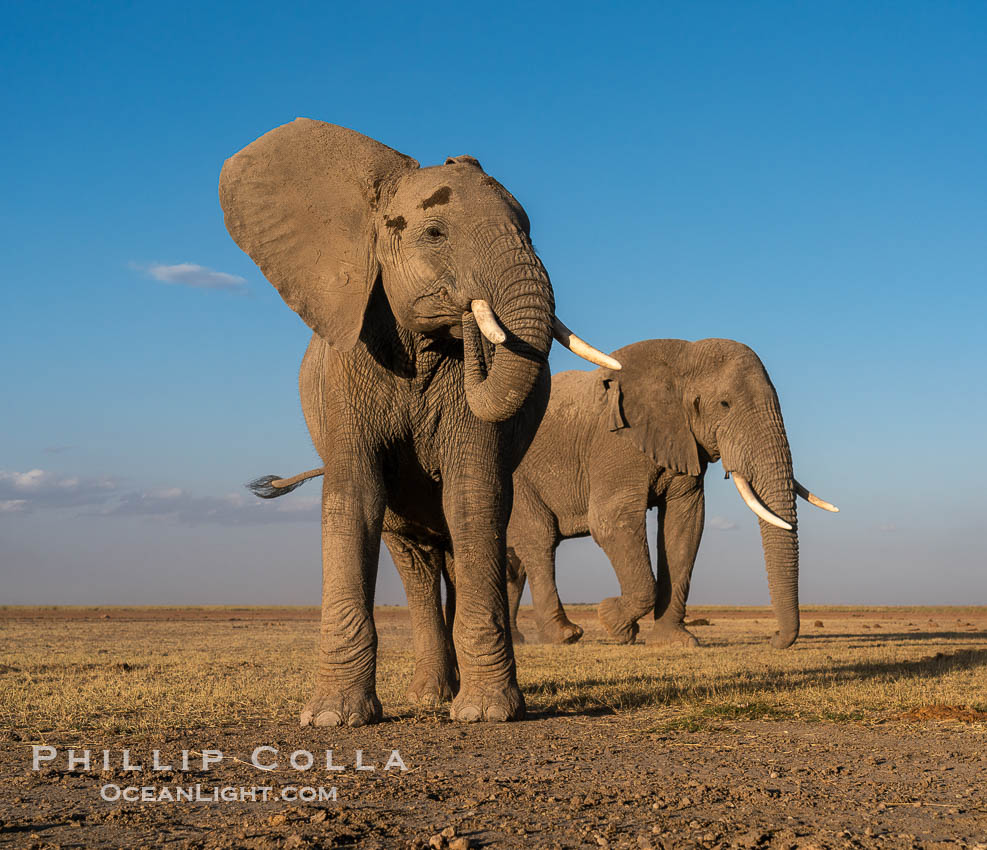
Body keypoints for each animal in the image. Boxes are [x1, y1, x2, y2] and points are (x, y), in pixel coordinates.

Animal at [220, 119, 616, 724]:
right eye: (433, 233)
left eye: (528, 228)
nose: (473, 317)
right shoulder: (348, 366)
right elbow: (354, 495)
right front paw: (333, 718)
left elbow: (472, 495)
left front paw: (488, 714)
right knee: (416, 562)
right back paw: (430, 697)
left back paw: (447, 698)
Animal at [506, 338, 836, 648]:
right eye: (724, 404)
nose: (775, 638)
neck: (682, 360)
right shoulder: (616, 441)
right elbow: (610, 521)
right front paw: (613, 622)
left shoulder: (685, 441)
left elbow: (684, 525)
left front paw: (674, 641)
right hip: (518, 476)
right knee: (539, 538)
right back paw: (565, 636)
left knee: (515, 561)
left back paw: (518, 640)